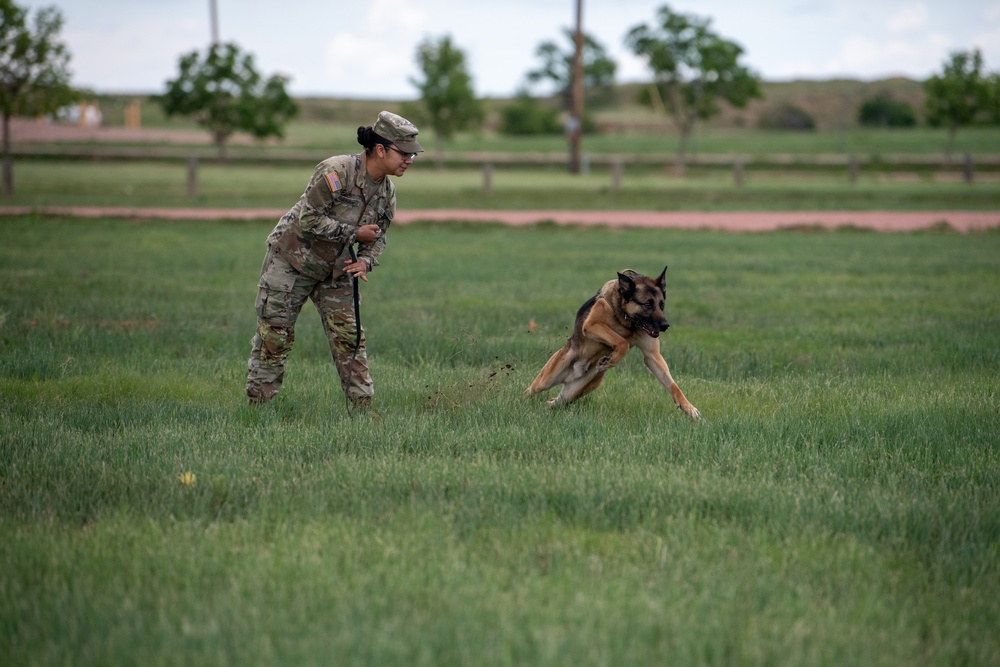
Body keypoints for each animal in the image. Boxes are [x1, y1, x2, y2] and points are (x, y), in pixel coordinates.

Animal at [524, 266, 704, 418]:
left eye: (662, 305)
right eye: (647, 304)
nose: (665, 325)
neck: (626, 320)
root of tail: (575, 372)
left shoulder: (652, 355)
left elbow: (672, 385)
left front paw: (688, 408)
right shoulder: (592, 325)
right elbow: (622, 341)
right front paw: (610, 360)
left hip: (577, 390)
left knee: (556, 402)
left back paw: (549, 403)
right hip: (548, 378)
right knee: (531, 390)